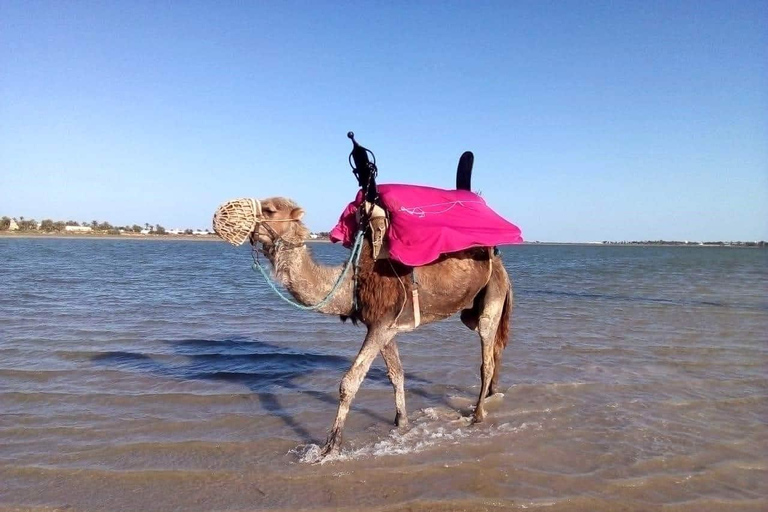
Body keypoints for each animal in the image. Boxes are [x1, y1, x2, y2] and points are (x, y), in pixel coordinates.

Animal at [248, 196, 513, 460]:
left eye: (269, 210)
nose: (239, 220)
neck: (352, 283)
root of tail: (500, 262)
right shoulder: (385, 327)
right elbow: (397, 374)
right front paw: (402, 424)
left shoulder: (381, 324)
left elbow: (349, 382)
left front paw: (331, 447)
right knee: (495, 350)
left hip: (492, 295)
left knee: (486, 357)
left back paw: (477, 415)